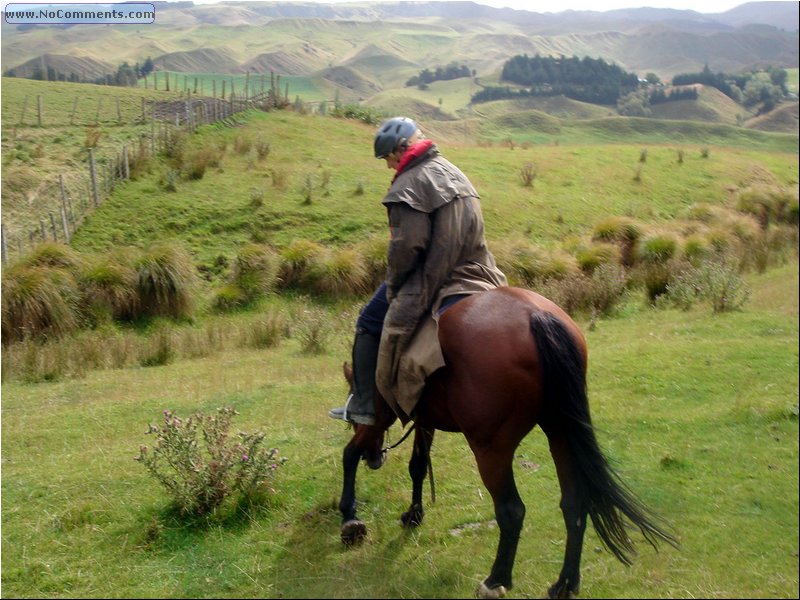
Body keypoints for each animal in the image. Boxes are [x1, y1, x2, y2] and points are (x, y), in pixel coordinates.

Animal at [334, 284, 680, 596]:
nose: (375, 458)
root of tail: (537, 316)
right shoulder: (424, 418)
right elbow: (418, 465)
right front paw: (413, 515)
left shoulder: (379, 414)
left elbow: (349, 454)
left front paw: (349, 516)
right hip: (561, 433)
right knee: (573, 503)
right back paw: (565, 584)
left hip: (491, 448)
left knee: (511, 511)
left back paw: (495, 580)